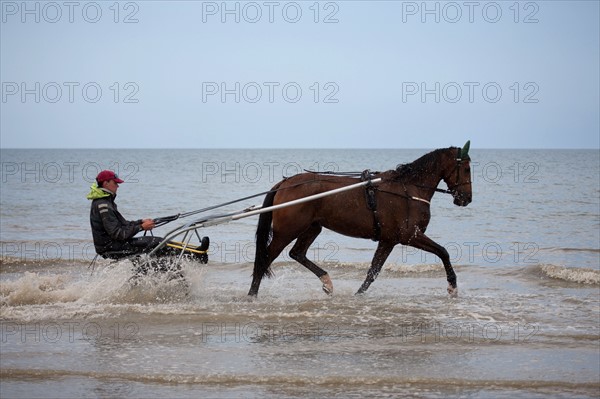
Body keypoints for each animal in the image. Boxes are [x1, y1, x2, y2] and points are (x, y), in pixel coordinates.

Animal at [246, 142, 472, 298]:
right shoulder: (410, 236)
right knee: (266, 258)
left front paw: (358, 295)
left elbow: (373, 271)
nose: (466, 199)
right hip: (287, 231)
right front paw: (452, 286)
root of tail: (284, 183)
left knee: (297, 253)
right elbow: (443, 252)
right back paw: (252, 294)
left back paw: (327, 281)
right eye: (467, 169)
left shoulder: (388, 240)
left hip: (312, 227)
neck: (409, 189)